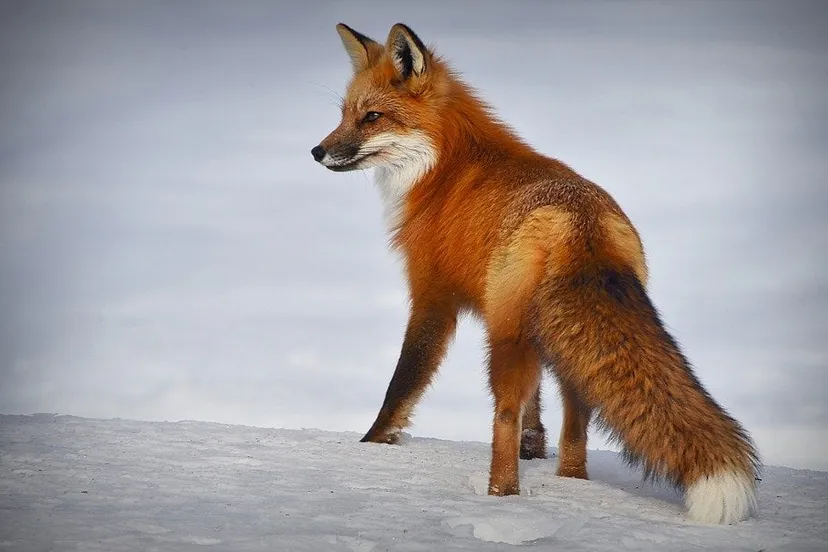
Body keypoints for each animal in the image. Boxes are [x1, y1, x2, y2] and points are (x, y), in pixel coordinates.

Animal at [311, 22, 760, 524]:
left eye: (372, 117)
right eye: (344, 115)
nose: (317, 151)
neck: (443, 168)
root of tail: (581, 223)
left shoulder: (433, 296)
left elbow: (403, 382)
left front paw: (372, 444)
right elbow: (536, 410)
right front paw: (535, 447)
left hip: (506, 338)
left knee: (503, 416)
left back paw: (500, 495)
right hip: (558, 341)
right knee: (576, 422)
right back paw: (570, 482)